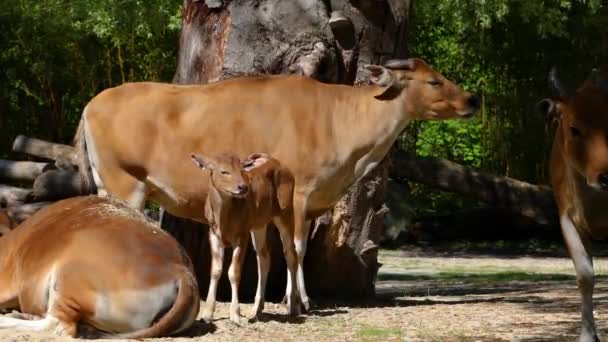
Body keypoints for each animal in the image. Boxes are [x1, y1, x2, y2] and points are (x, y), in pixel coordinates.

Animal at [191, 152, 298, 324]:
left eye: (241, 170)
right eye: (224, 171)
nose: (242, 187)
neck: (224, 220)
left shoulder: (242, 234)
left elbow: (234, 272)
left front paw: (235, 315)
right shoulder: (213, 233)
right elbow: (215, 270)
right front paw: (207, 314)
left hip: (286, 212)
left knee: (291, 254)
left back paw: (293, 307)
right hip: (259, 224)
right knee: (264, 256)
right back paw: (256, 309)